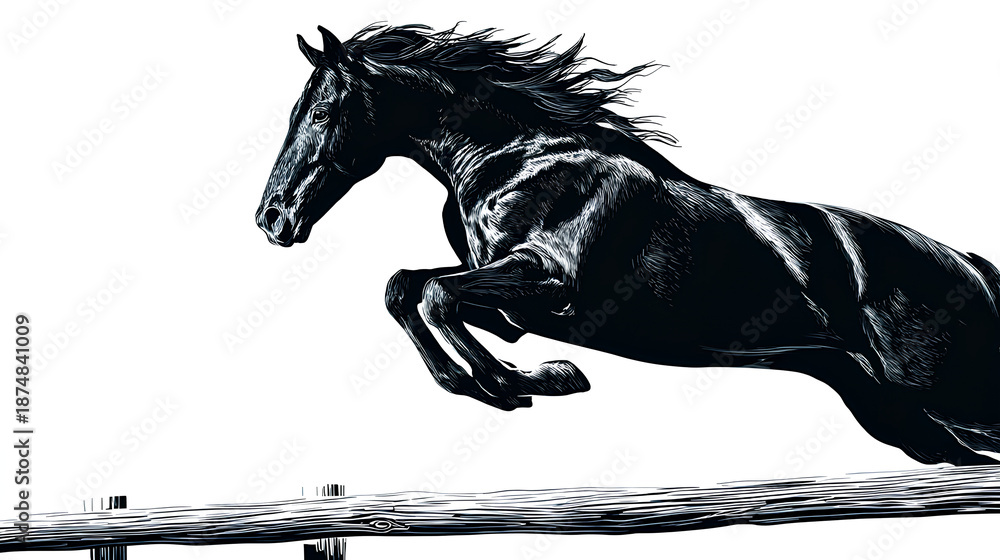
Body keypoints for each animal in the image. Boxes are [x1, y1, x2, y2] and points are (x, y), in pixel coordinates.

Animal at [255, 23, 1000, 466]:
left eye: (321, 111)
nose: (272, 218)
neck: (521, 157)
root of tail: (973, 267)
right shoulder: (511, 308)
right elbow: (407, 287)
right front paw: (510, 379)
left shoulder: (551, 285)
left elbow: (433, 292)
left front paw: (521, 384)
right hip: (905, 420)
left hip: (943, 398)